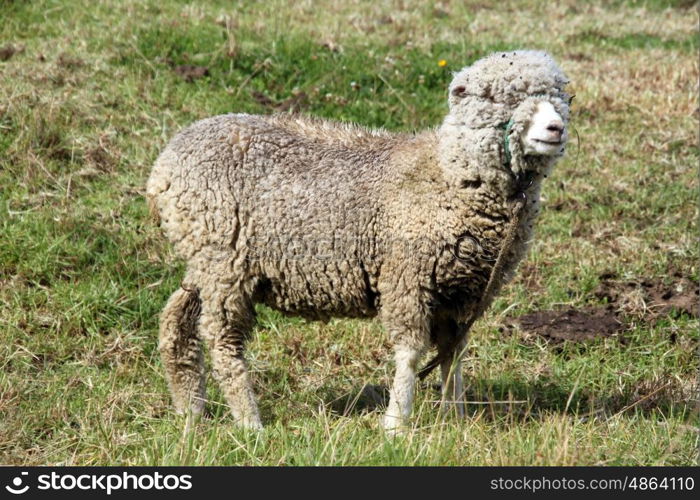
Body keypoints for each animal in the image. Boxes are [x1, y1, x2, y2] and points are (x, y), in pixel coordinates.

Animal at [146, 51, 568, 434]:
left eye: (563, 96)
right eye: (497, 97)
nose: (555, 128)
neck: (447, 176)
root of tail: (164, 165)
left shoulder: (464, 292)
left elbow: (453, 354)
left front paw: (457, 419)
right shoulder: (407, 278)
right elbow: (411, 352)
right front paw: (396, 425)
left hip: (206, 258)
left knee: (177, 319)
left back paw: (190, 412)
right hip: (223, 259)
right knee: (221, 339)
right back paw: (250, 423)